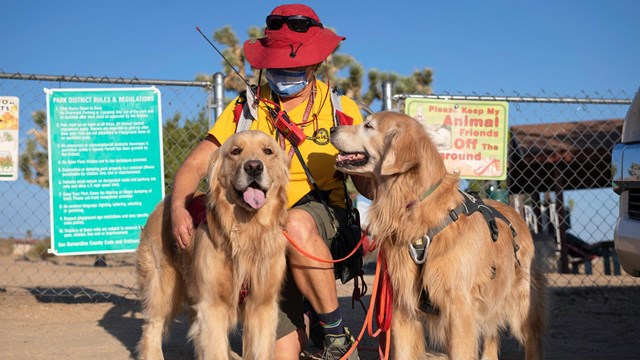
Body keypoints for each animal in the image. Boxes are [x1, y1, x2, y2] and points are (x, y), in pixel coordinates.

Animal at [136, 130, 288, 360]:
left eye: (268, 151)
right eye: (236, 151)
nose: (254, 167)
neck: (247, 232)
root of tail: (164, 202)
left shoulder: (263, 304)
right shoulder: (212, 303)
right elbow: (214, 348)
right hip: (163, 285)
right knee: (151, 327)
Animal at [330, 112, 544, 360]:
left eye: (368, 126)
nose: (332, 128)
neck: (415, 208)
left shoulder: (459, 309)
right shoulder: (403, 308)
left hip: (522, 302)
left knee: (532, 338)